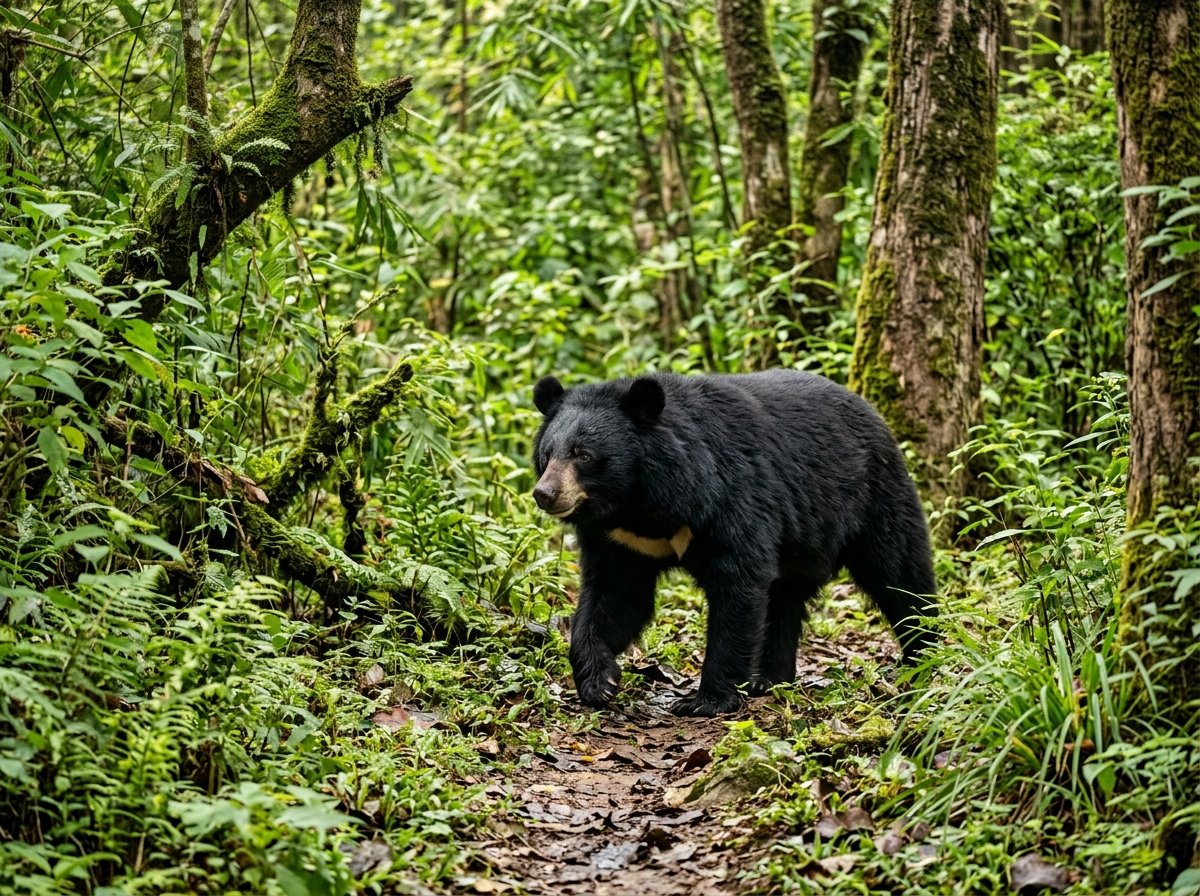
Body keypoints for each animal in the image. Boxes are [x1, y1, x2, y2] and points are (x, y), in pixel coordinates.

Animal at [531, 370, 937, 717]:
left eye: (584, 455)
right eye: (548, 455)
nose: (545, 494)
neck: (639, 504)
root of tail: (870, 410)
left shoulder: (730, 499)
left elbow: (738, 585)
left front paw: (705, 701)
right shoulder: (621, 540)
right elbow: (615, 596)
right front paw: (599, 681)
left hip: (874, 498)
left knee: (900, 575)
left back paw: (924, 657)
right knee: (785, 600)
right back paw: (769, 679)